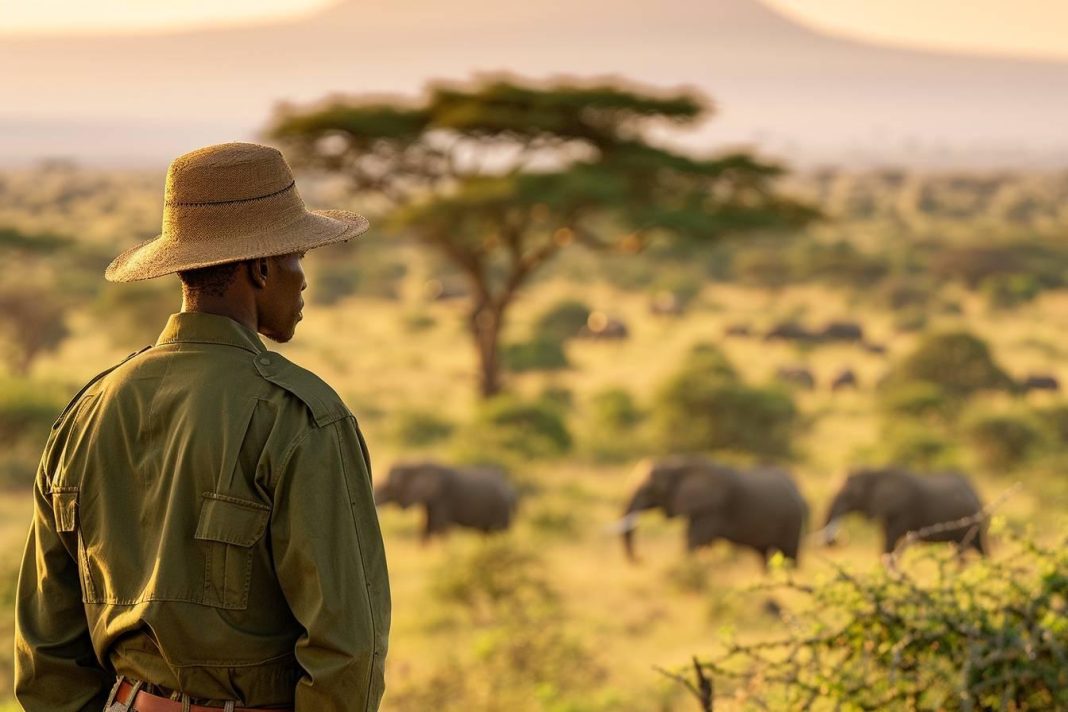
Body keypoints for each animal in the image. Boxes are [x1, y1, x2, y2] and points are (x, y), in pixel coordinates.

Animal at [375, 463, 516, 540]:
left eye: (392, 485)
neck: (417, 463)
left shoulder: (443, 498)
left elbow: (438, 527)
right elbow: (427, 527)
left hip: (502, 509)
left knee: (499, 532)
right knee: (486, 532)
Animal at [619, 456, 807, 567]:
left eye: (650, 490)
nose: (641, 558)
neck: (679, 465)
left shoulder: (711, 509)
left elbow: (694, 539)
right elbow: (691, 537)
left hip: (793, 522)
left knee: (790, 554)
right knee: (763, 556)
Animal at [820, 467, 986, 555]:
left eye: (850, 495)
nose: (834, 541)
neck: (875, 473)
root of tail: (976, 493)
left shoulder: (902, 513)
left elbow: (890, 540)